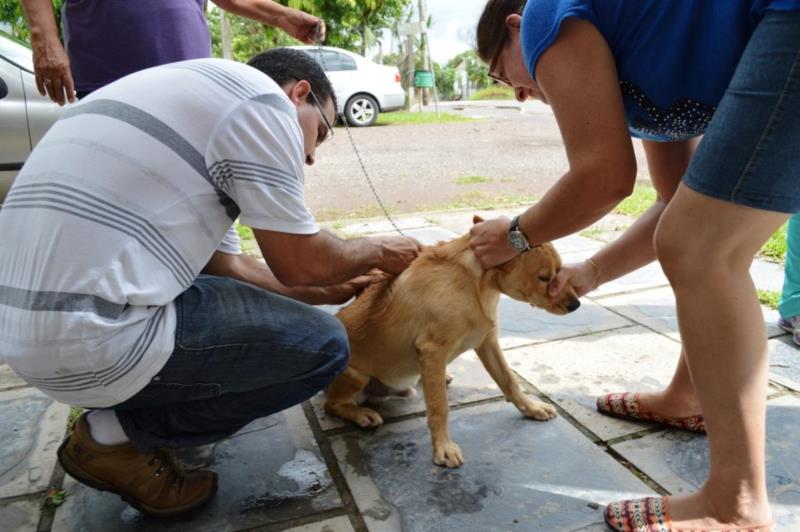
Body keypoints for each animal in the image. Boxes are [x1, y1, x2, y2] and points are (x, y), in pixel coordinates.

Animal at [324, 216, 580, 466]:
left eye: (559, 270)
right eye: (544, 277)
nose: (576, 304)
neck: (475, 285)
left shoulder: (488, 341)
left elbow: (509, 380)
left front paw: (531, 408)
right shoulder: (433, 351)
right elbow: (439, 407)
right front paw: (443, 447)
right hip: (356, 375)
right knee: (332, 404)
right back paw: (361, 413)